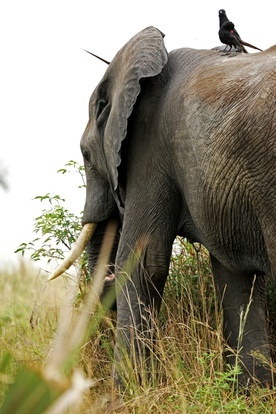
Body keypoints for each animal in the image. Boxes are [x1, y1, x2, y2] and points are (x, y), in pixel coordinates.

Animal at [50, 27, 276, 390]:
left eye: (85, 154)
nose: (106, 276)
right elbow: (235, 276)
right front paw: (250, 394)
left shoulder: (148, 146)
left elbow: (143, 261)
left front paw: (126, 394)